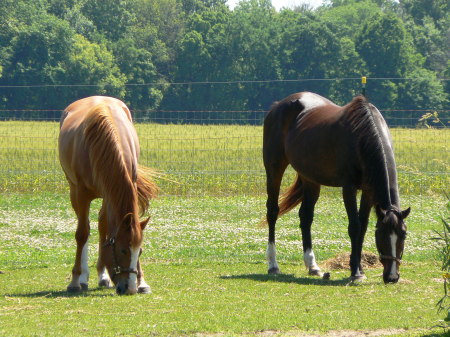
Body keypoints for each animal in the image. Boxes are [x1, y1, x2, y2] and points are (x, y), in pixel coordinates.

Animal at [59, 95, 158, 294]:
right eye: (122, 250)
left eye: (140, 251)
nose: (130, 288)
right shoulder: (81, 194)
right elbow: (82, 234)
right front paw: (75, 280)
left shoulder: (113, 190)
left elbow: (105, 229)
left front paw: (142, 282)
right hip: (74, 192)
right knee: (85, 229)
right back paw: (83, 277)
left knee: (101, 225)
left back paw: (102, 275)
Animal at [264, 90, 412, 282]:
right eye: (381, 234)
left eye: (403, 234)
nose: (392, 276)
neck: (363, 136)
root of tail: (278, 106)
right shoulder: (348, 188)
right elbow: (354, 226)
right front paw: (355, 272)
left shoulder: (368, 191)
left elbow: (363, 226)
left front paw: (359, 268)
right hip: (274, 168)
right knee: (272, 212)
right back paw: (273, 265)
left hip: (310, 179)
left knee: (306, 217)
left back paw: (313, 266)